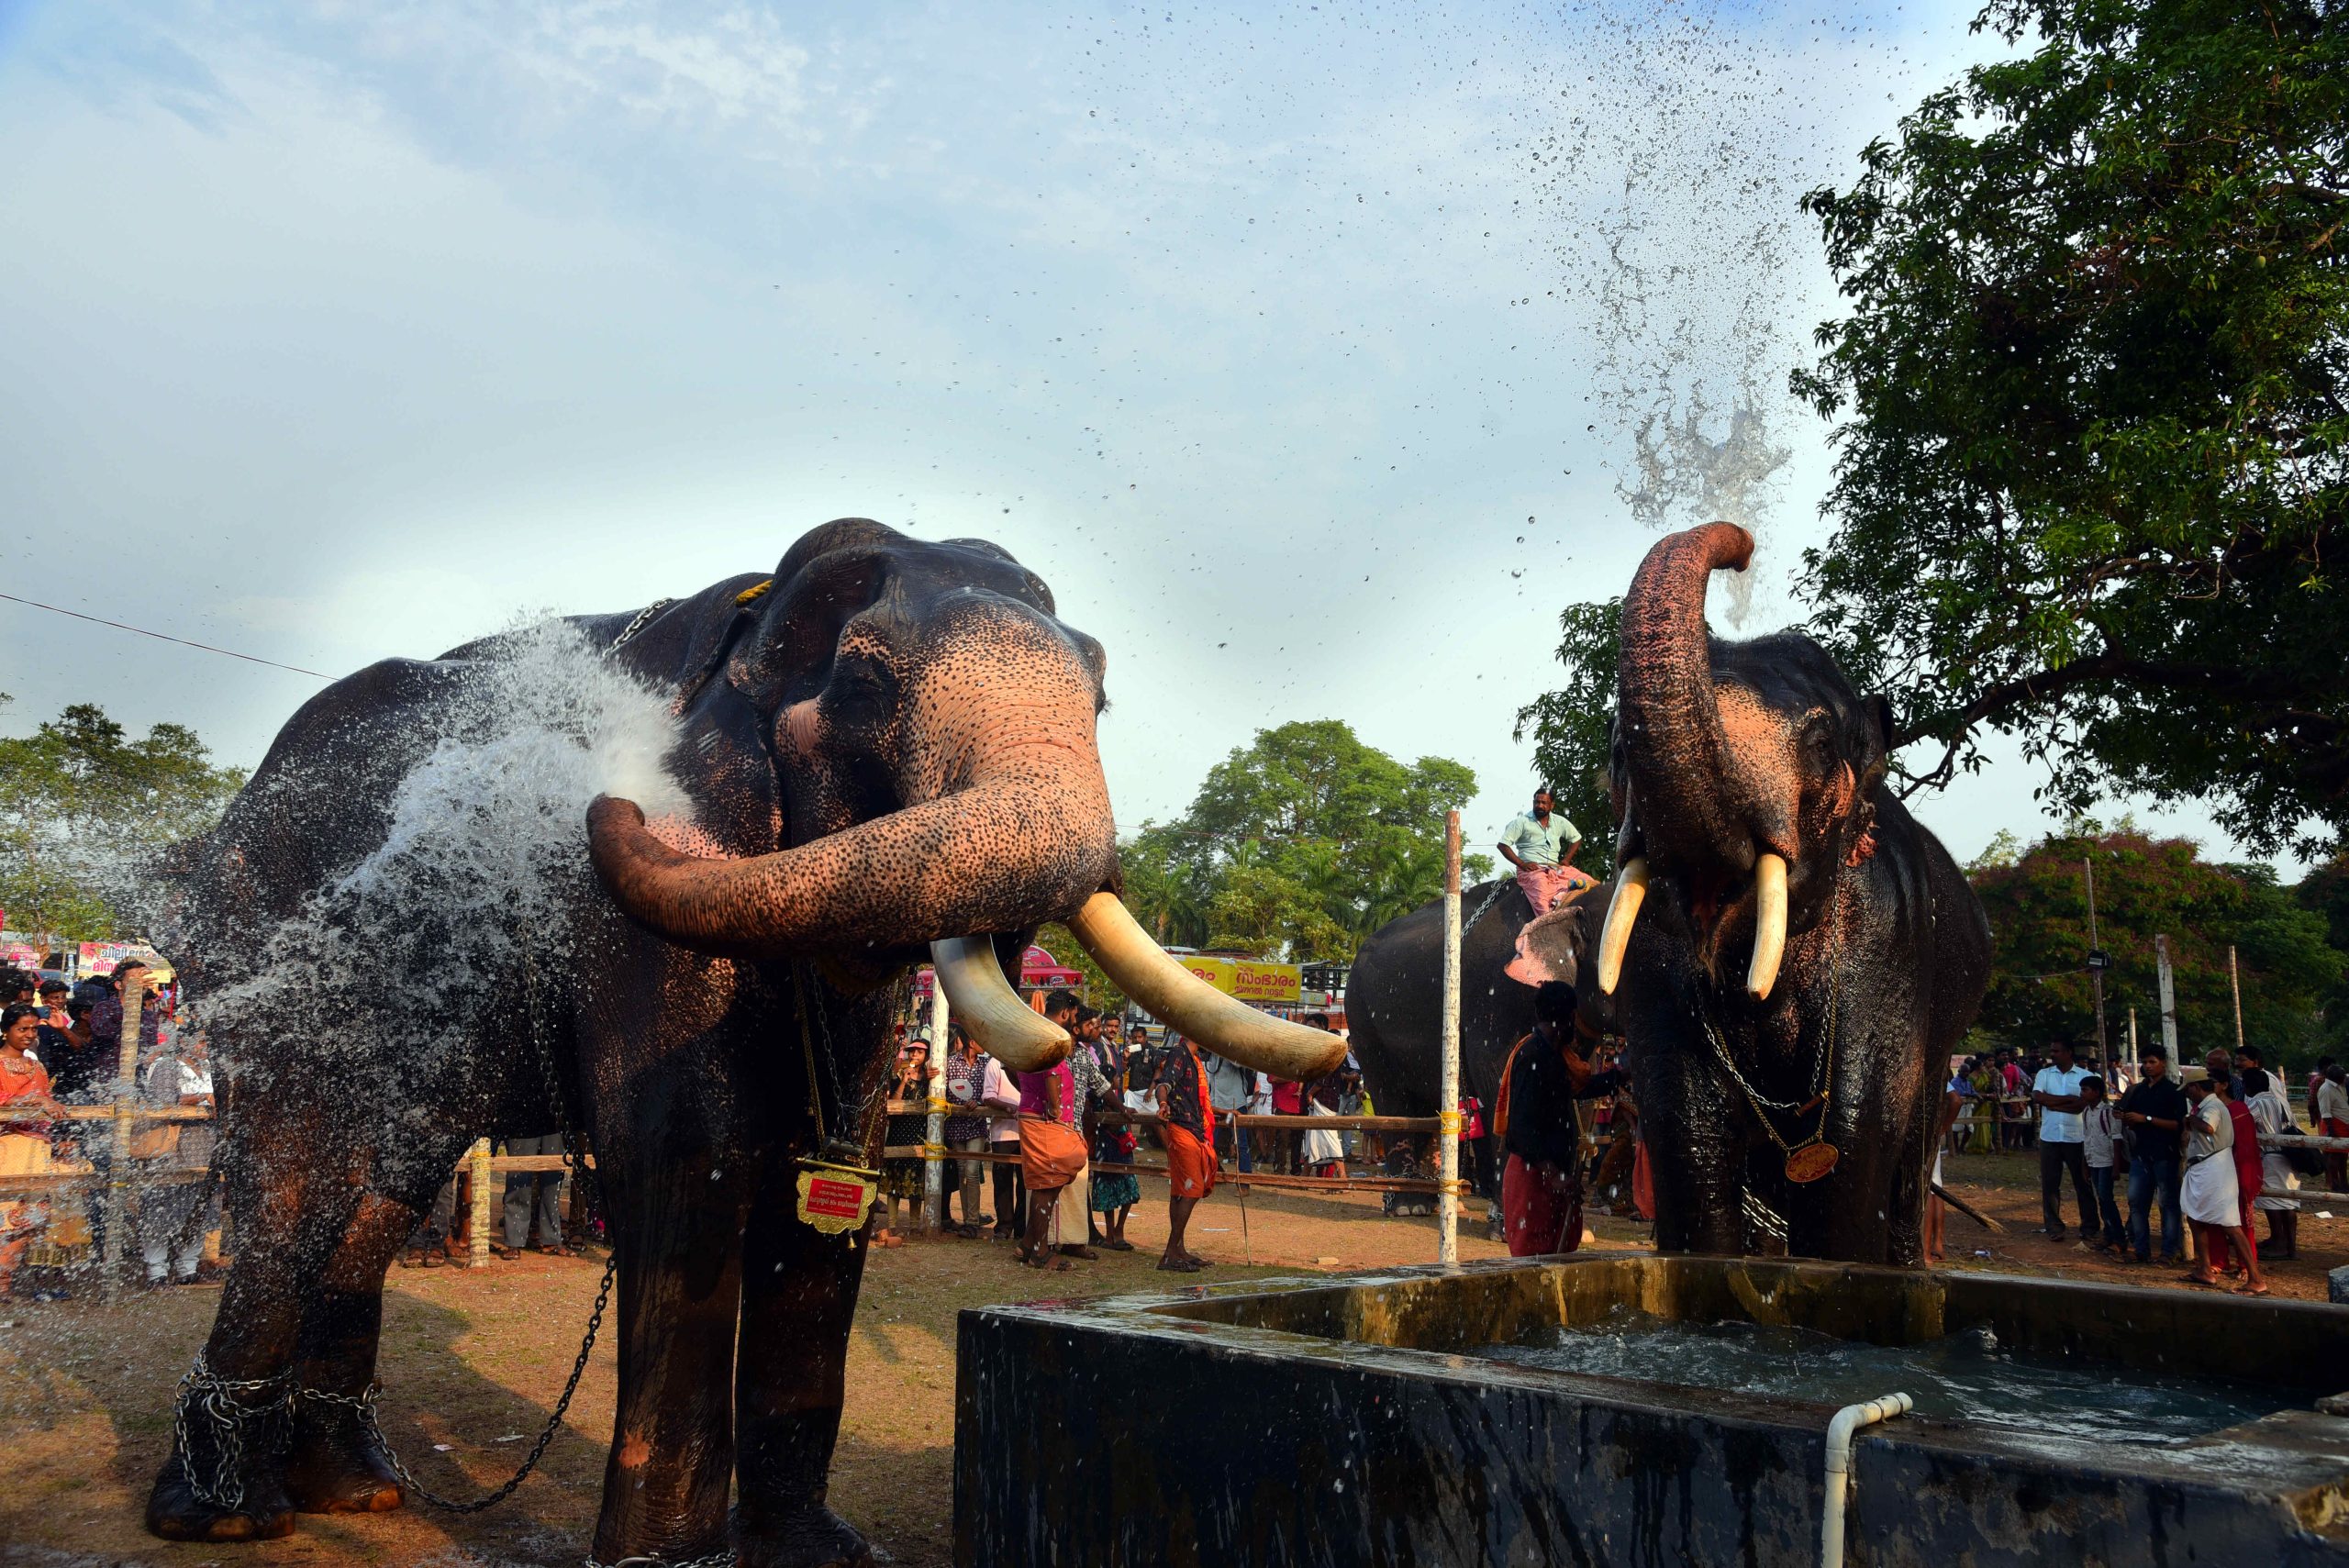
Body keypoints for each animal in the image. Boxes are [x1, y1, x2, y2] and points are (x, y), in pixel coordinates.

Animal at [141, 519, 1342, 1564]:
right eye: (867, 684)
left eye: (1100, 689)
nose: (1061, 1037)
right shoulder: (659, 877)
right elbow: (694, 1153)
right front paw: (666, 1561)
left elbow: (834, 1166)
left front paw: (821, 1550)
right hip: (266, 947)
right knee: (295, 1173)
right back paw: (229, 1514)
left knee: (384, 1182)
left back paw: (358, 1489)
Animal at [1592, 521, 1990, 1265]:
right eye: (1616, 751)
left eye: (1822, 742)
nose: (1742, 548)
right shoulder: (1652, 959)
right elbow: (1685, 1127)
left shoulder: (1889, 943)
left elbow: (1855, 1139)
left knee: (1912, 1155)